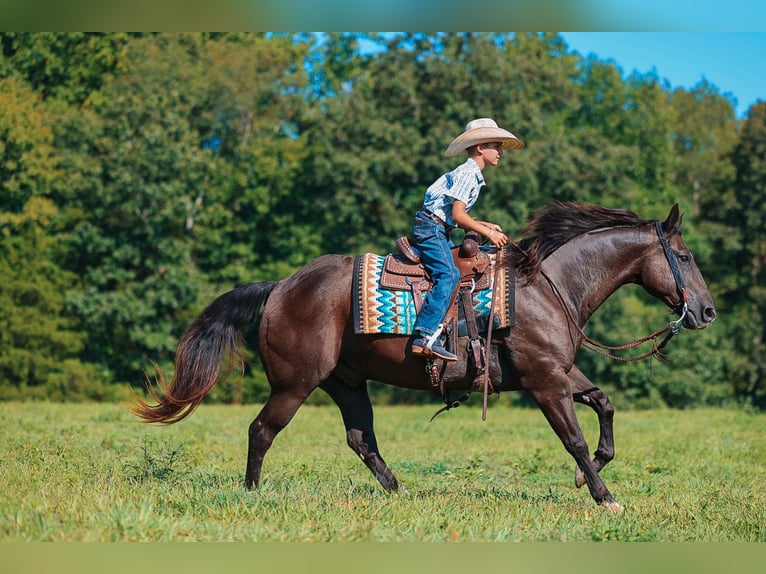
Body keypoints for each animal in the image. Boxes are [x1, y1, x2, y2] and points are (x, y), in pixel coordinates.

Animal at [131, 201, 716, 512]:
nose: (707, 311)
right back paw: (252, 493)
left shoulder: (561, 371)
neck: (548, 288)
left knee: (360, 438)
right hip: (295, 384)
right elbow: (572, 436)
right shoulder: (545, 381)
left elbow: (606, 405)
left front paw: (587, 476)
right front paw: (603, 495)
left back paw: (397, 491)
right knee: (262, 430)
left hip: (347, 383)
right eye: (685, 256)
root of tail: (279, 287)